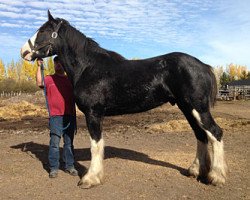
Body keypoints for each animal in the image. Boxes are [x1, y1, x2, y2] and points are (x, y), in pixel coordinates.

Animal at [20, 10, 227, 188]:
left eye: (44, 30)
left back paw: (216, 177)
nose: (24, 51)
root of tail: (204, 66)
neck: (87, 67)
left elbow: (96, 145)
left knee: (215, 133)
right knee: (201, 135)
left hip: (198, 108)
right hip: (187, 108)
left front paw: (90, 179)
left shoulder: (93, 113)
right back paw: (195, 171)